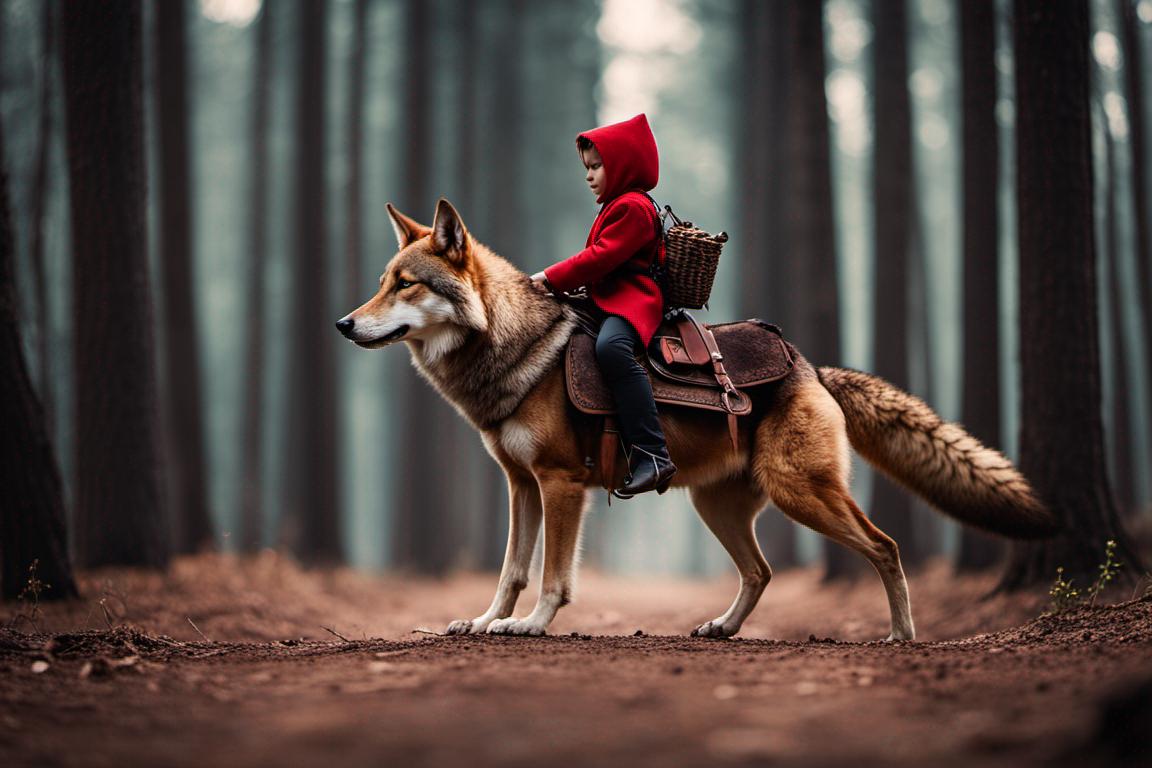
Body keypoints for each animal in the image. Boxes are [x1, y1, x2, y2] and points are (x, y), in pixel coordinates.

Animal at [336, 198, 1057, 641]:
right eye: (382, 281)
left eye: (406, 284)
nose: (344, 323)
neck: (514, 351)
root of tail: (812, 366)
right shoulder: (521, 487)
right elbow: (510, 571)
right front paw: (486, 622)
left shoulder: (561, 486)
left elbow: (552, 576)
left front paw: (530, 626)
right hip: (717, 507)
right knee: (762, 572)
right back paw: (725, 628)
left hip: (802, 494)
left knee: (886, 547)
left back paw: (901, 635)